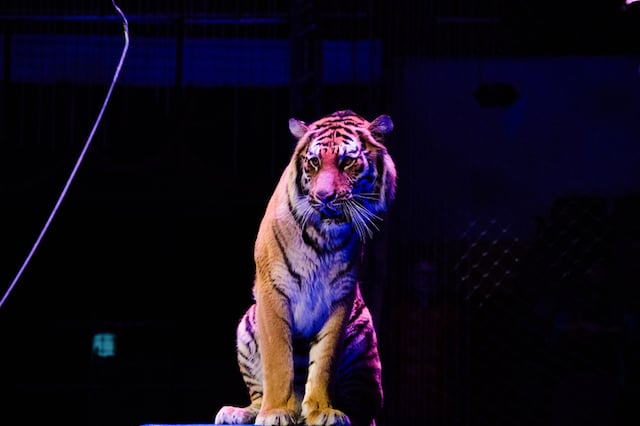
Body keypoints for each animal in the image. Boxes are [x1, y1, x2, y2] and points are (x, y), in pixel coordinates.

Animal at [213, 109, 397, 426]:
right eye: (313, 162)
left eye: (347, 162)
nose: (324, 196)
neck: (323, 235)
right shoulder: (272, 290)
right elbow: (278, 360)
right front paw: (275, 412)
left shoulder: (341, 297)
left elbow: (324, 361)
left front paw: (322, 411)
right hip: (247, 324)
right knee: (257, 395)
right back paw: (237, 412)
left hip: (363, 344)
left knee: (364, 408)